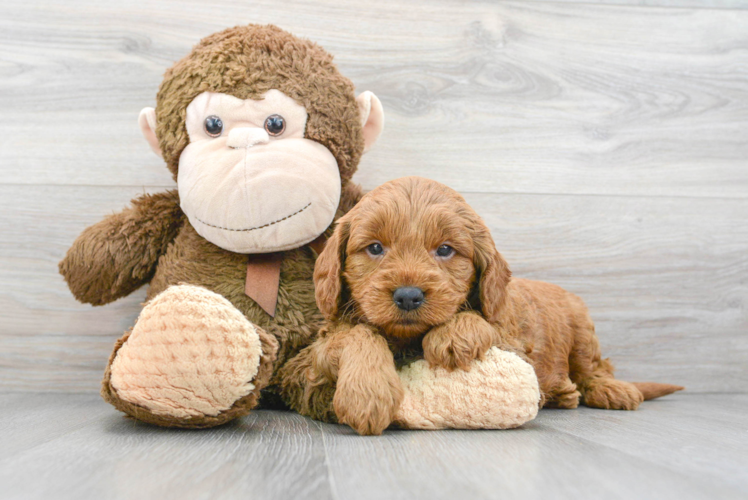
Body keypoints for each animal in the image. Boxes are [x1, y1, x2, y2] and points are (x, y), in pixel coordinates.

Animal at [280, 178, 676, 436]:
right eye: (375, 248)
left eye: (445, 250)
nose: (408, 295)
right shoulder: (322, 345)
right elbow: (358, 333)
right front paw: (369, 392)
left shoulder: (512, 335)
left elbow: (482, 321)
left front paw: (454, 336)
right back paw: (563, 394)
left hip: (582, 331)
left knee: (595, 366)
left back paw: (610, 390)